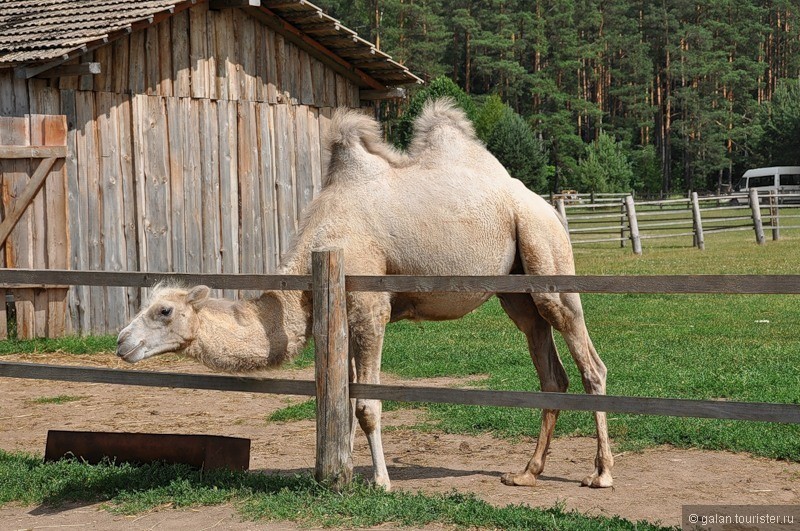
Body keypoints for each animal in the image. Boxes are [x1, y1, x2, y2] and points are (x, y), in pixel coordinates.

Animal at [115, 98, 612, 490]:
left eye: (163, 311)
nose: (122, 342)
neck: (313, 253)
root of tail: (543, 203)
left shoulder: (370, 307)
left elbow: (368, 404)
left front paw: (382, 482)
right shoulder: (345, 314)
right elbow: (347, 401)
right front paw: (342, 474)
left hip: (546, 249)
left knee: (590, 362)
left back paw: (601, 473)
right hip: (516, 289)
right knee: (549, 369)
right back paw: (526, 472)